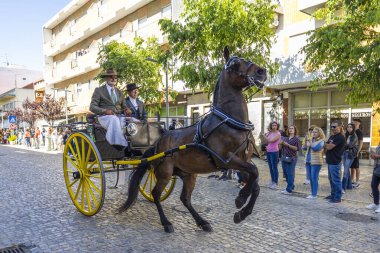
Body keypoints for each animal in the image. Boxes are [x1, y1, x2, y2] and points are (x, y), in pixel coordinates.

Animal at [120, 46, 266, 232]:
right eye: (234, 63)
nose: (261, 72)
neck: (230, 122)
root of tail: (158, 142)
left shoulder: (243, 162)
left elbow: (256, 183)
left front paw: (241, 212)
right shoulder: (227, 160)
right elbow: (254, 173)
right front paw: (240, 200)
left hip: (189, 174)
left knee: (185, 198)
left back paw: (202, 222)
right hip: (165, 172)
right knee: (156, 194)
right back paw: (167, 223)